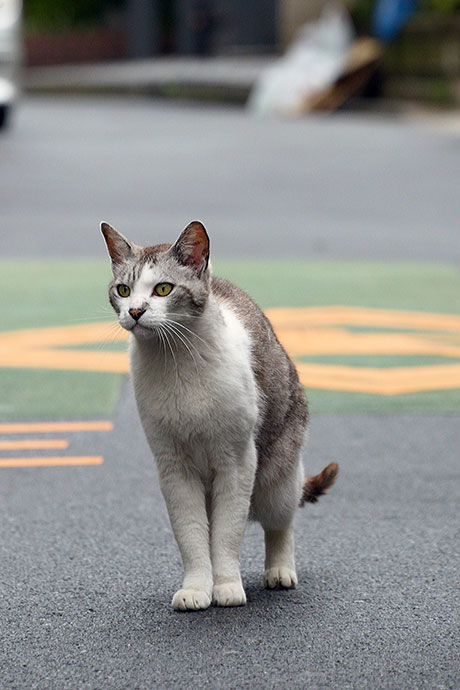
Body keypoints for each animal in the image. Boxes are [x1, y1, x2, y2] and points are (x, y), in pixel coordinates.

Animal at [100, 219, 338, 608]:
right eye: (123, 290)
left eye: (163, 289)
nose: (134, 312)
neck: (175, 360)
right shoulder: (173, 468)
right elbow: (193, 536)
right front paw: (198, 589)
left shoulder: (237, 463)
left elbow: (226, 536)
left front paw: (226, 588)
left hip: (274, 477)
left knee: (280, 523)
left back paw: (280, 572)